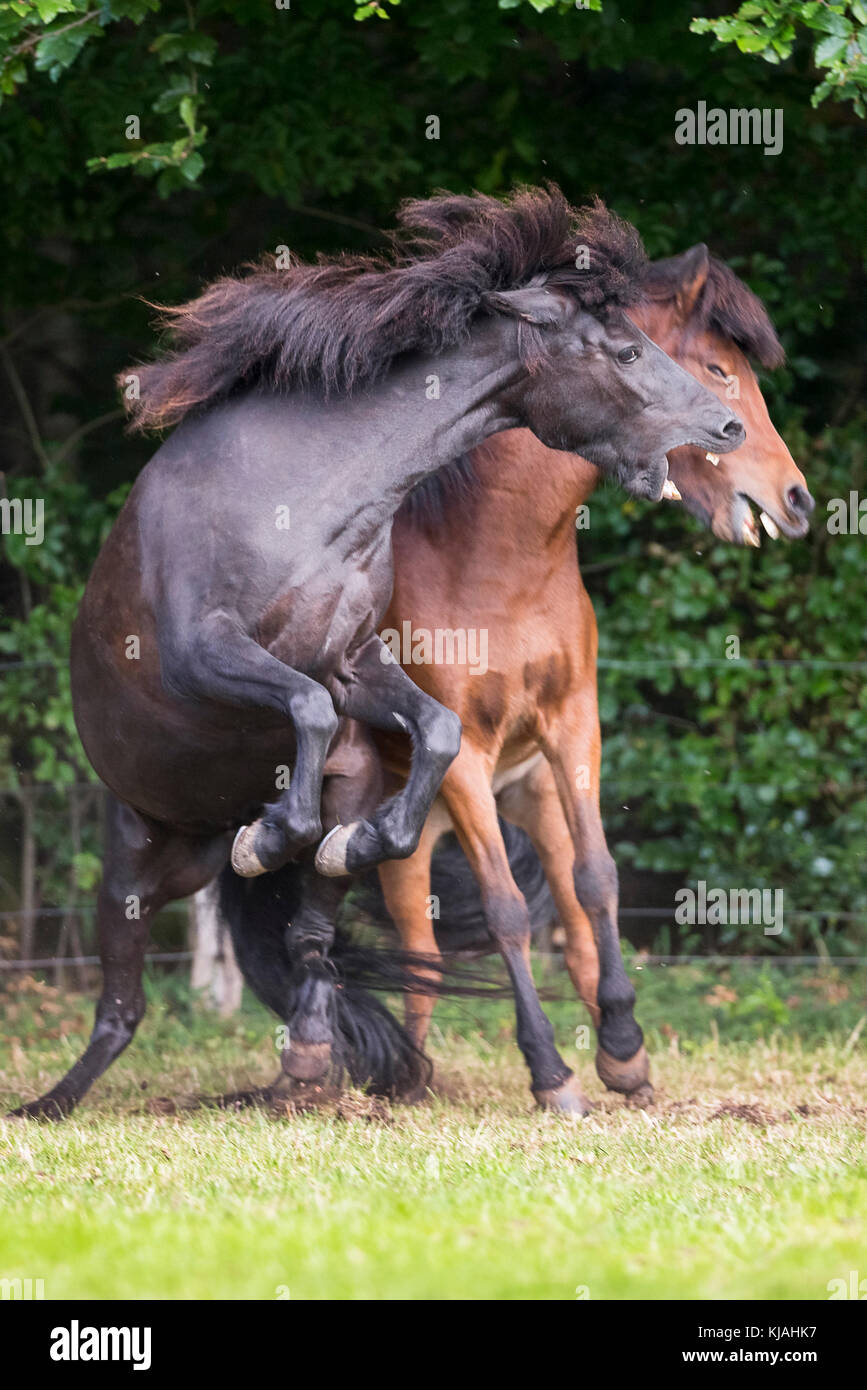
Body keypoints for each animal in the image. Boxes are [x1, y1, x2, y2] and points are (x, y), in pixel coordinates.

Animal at [10, 190, 744, 1117]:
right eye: (624, 349)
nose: (726, 424)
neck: (304, 494)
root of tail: (196, 833)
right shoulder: (205, 654)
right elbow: (306, 706)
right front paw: (271, 836)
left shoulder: (358, 667)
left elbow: (424, 732)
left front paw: (329, 841)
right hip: (133, 872)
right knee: (121, 1007)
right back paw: (50, 1103)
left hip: (324, 794)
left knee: (309, 936)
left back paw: (309, 1047)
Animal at [222, 247, 811, 1117]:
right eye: (714, 367)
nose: (796, 498)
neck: (501, 553)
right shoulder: (463, 755)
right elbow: (503, 913)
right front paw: (550, 1074)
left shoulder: (573, 728)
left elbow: (598, 884)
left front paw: (624, 1052)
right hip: (411, 839)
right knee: (409, 945)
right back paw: (373, 1069)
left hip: (524, 800)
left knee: (548, 914)